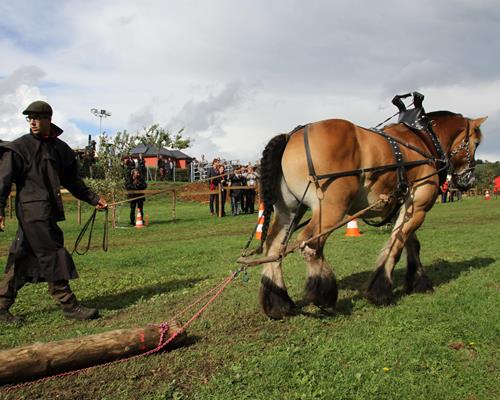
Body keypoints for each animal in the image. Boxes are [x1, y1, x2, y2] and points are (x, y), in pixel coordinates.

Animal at [260, 109, 486, 318]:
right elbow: (395, 247)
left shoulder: (405, 207)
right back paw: (323, 296)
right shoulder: (419, 205)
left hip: (290, 211)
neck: (424, 141)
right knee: (310, 244)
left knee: (273, 247)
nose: (469, 180)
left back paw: (278, 303)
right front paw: (380, 291)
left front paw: (418, 282)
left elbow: (411, 244)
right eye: (476, 143)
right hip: (331, 209)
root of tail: (291, 136)